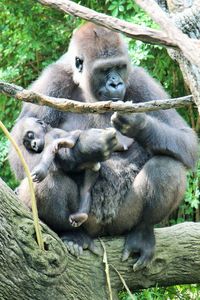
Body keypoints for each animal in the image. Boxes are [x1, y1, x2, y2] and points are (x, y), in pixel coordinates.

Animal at [9, 22, 198, 270]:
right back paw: (73, 235)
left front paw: (138, 124)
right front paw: (86, 149)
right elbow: (20, 149)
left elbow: (186, 139)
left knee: (167, 167)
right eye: (104, 70)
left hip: (122, 222)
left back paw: (142, 234)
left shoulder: (138, 78)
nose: (116, 83)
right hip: (87, 222)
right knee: (45, 180)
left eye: (119, 67)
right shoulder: (52, 80)